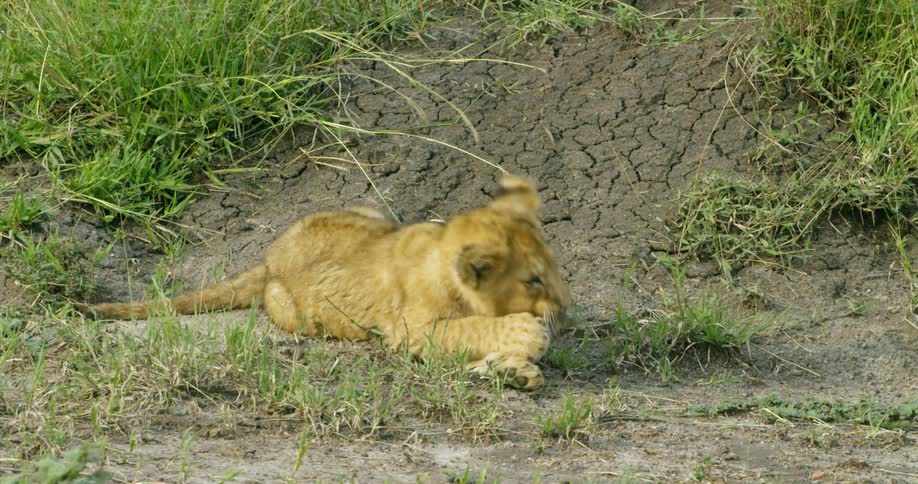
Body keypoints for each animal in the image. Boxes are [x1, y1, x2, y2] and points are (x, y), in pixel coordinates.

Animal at [91, 175, 573, 391]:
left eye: (553, 267)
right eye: (532, 280)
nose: (566, 308)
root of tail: (270, 258)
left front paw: (513, 370)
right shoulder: (409, 331)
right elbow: (471, 329)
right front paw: (527, 341)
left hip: (370, 211)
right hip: (293, 312)